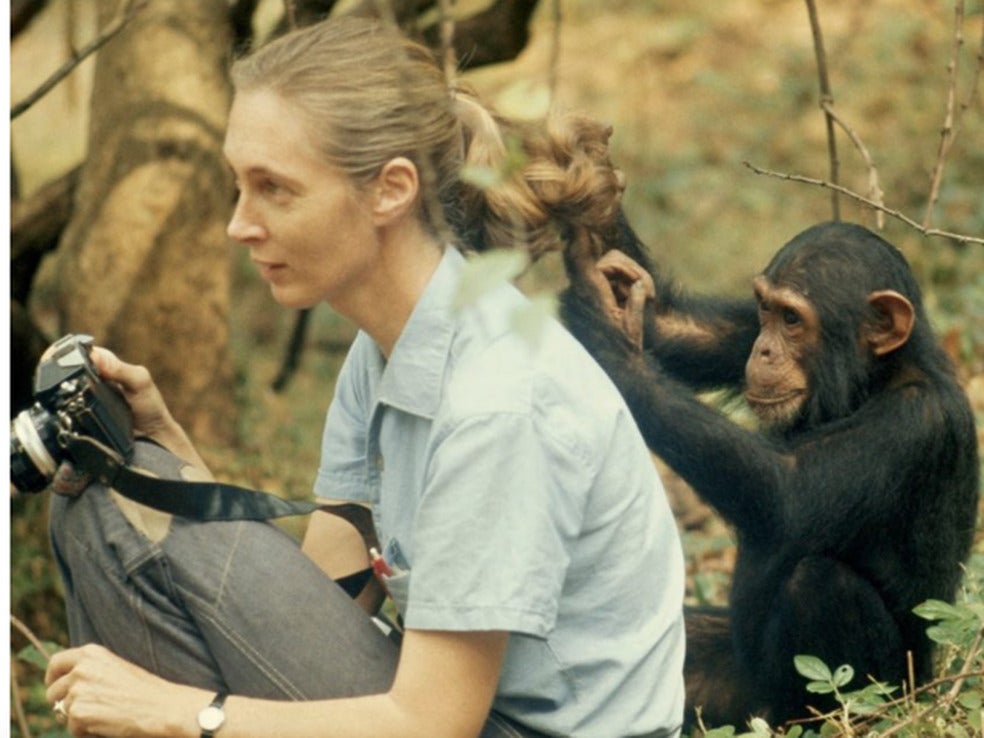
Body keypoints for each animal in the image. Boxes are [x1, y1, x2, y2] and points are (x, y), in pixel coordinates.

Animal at [556, 218, 980, 724]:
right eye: (766, 310)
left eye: (793, 320)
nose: (763, 351)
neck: (872, 380)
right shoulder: (740, 332)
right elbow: (682, 331)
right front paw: (593, 254)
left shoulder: (915, 421)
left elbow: (785, 492)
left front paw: (608, 334)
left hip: (889, 694)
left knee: (820, 581)